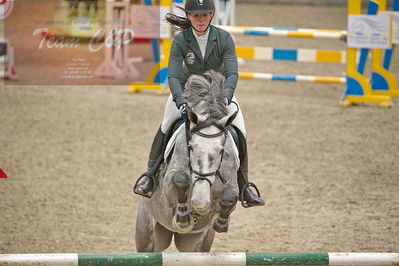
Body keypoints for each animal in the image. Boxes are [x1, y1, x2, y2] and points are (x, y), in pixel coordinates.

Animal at [136, 70, 241, 251]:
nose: (200, 202)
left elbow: (231, 196)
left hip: (196, 245)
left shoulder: (232, 184)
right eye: (191, 146)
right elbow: (180, 179)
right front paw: (184, 218)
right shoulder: (168, 185)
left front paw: (221, 223)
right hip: (147, 238)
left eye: (221, 150)